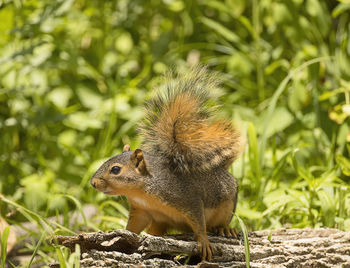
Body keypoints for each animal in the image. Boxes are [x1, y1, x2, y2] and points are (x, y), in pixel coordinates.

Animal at [90, 67, 242, 262]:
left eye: (115, 169)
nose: (93, 183)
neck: (142, 191)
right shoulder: (141, 210)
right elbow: (133, 226)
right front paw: (122, 235)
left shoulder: (187, 199)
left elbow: (199, 222)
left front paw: (203, 241)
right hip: (159, 221)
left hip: (228, 205)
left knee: (220, 221)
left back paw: (225, 229)